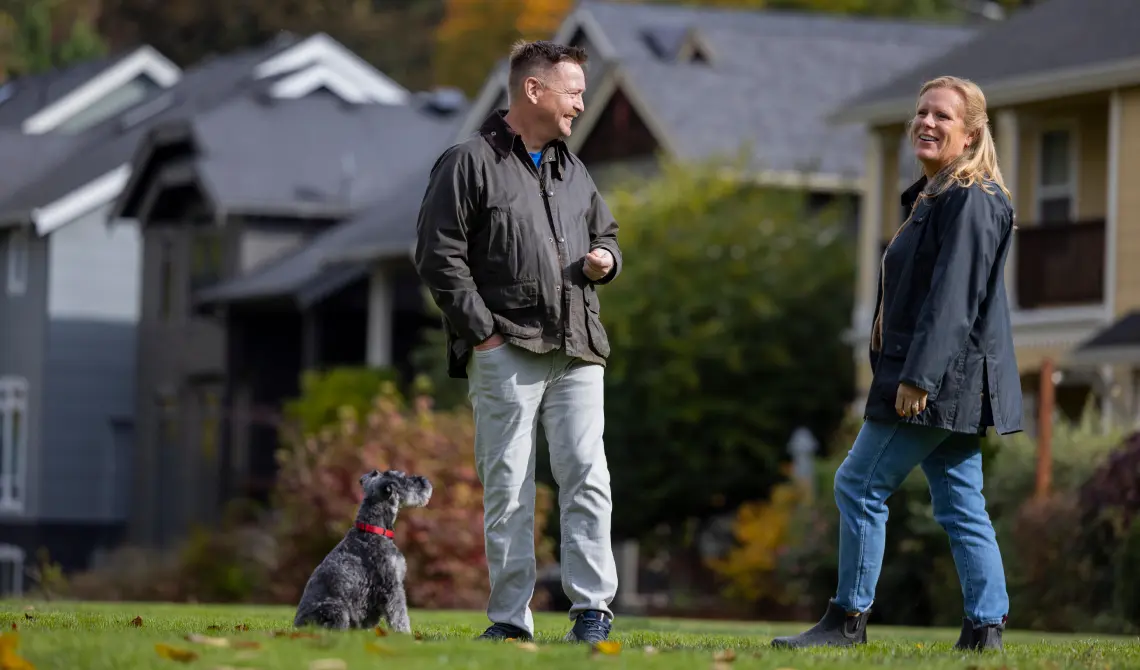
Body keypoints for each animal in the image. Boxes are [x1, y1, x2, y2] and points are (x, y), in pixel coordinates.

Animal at [291, 469, 433, 628]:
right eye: (403, 478)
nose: (423, 480)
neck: (373, 529)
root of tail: (298, 624)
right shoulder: (391, 585)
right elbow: (399, 614)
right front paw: (404, 632)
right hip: (336, 610)